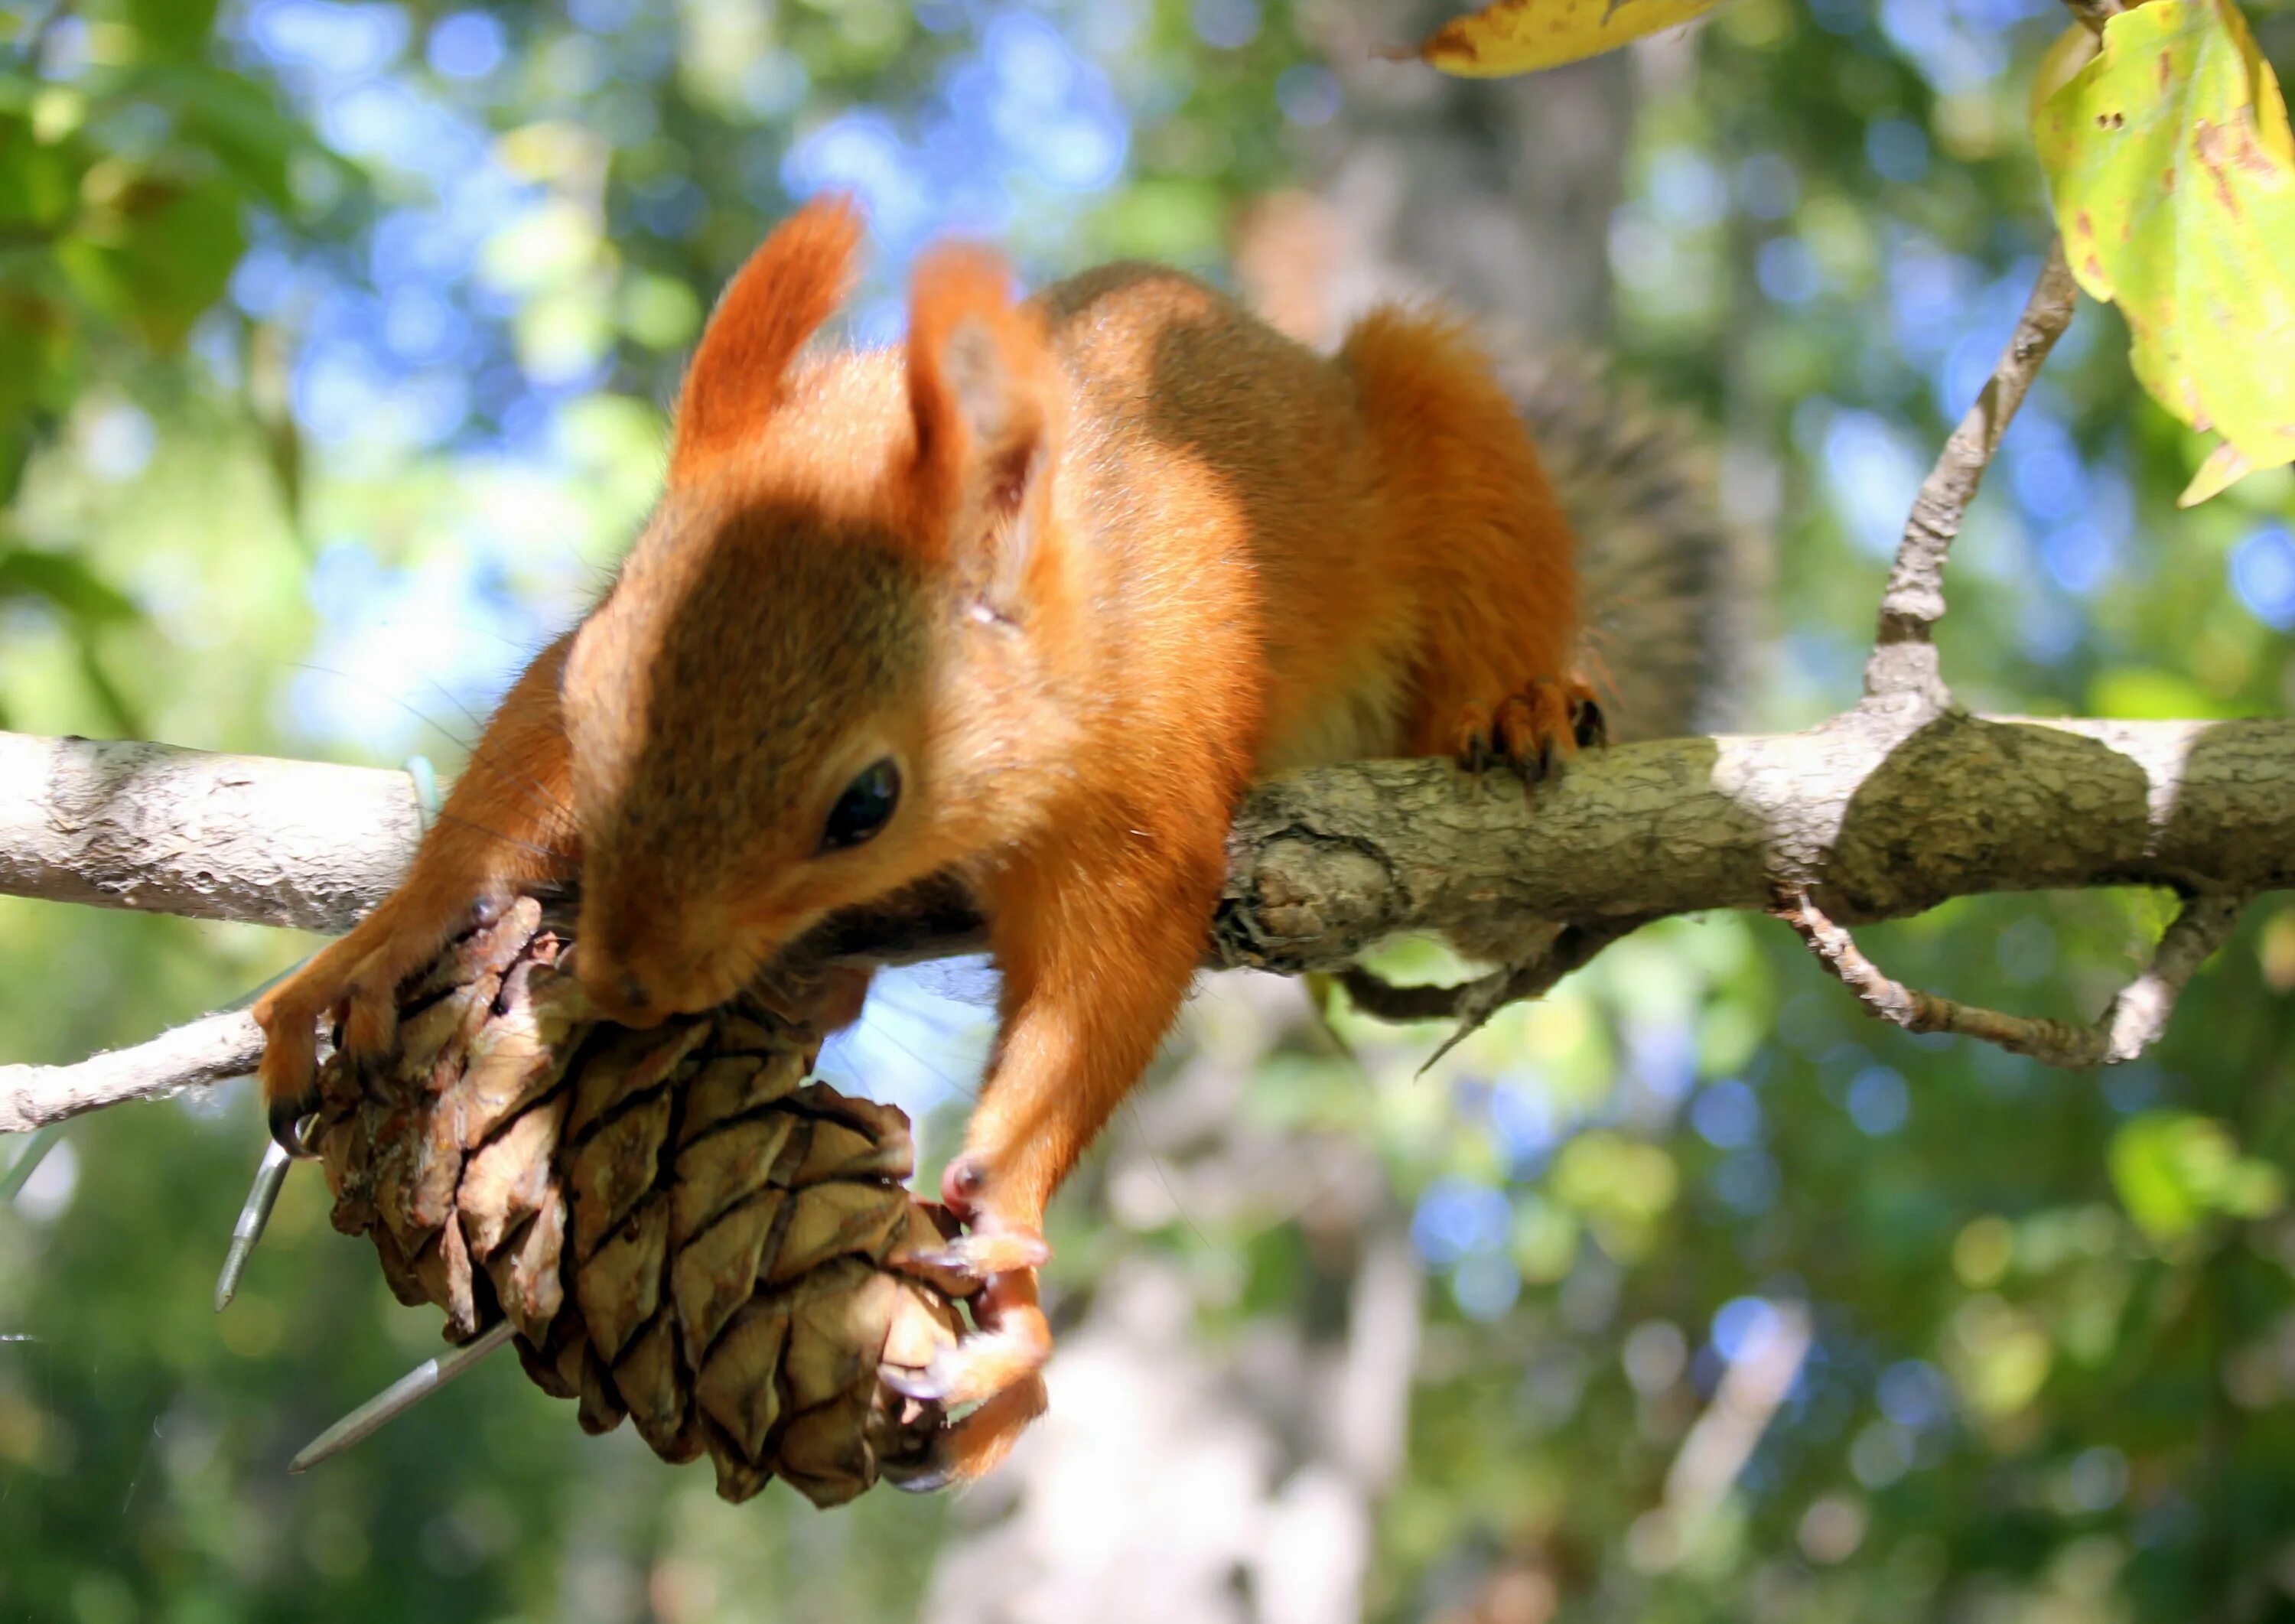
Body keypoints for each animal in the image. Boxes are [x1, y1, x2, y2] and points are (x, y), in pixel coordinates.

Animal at [256, 199, 1597, 1486]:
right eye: (594, 695)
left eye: (866, 802)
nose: (628, 984)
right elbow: (514, 778)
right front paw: (393, 933)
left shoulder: (1146, 786)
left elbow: (1103, 983)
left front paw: (1012, 1240)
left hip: (1443, 438)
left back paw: (1524, 702)